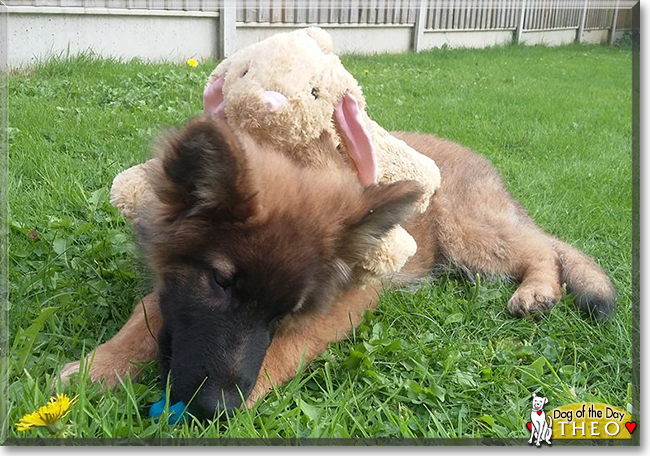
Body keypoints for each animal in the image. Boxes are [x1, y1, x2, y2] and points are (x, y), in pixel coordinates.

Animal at [58, 116, 616, 420]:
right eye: (218, 283)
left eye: (286, 313)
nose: (215, 409)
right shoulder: (173, 282)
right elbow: (144, 316)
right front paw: (99, 367)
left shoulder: (349, 299)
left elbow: (290, 346)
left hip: (466, 233)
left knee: (539, 247)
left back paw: (537, 291)